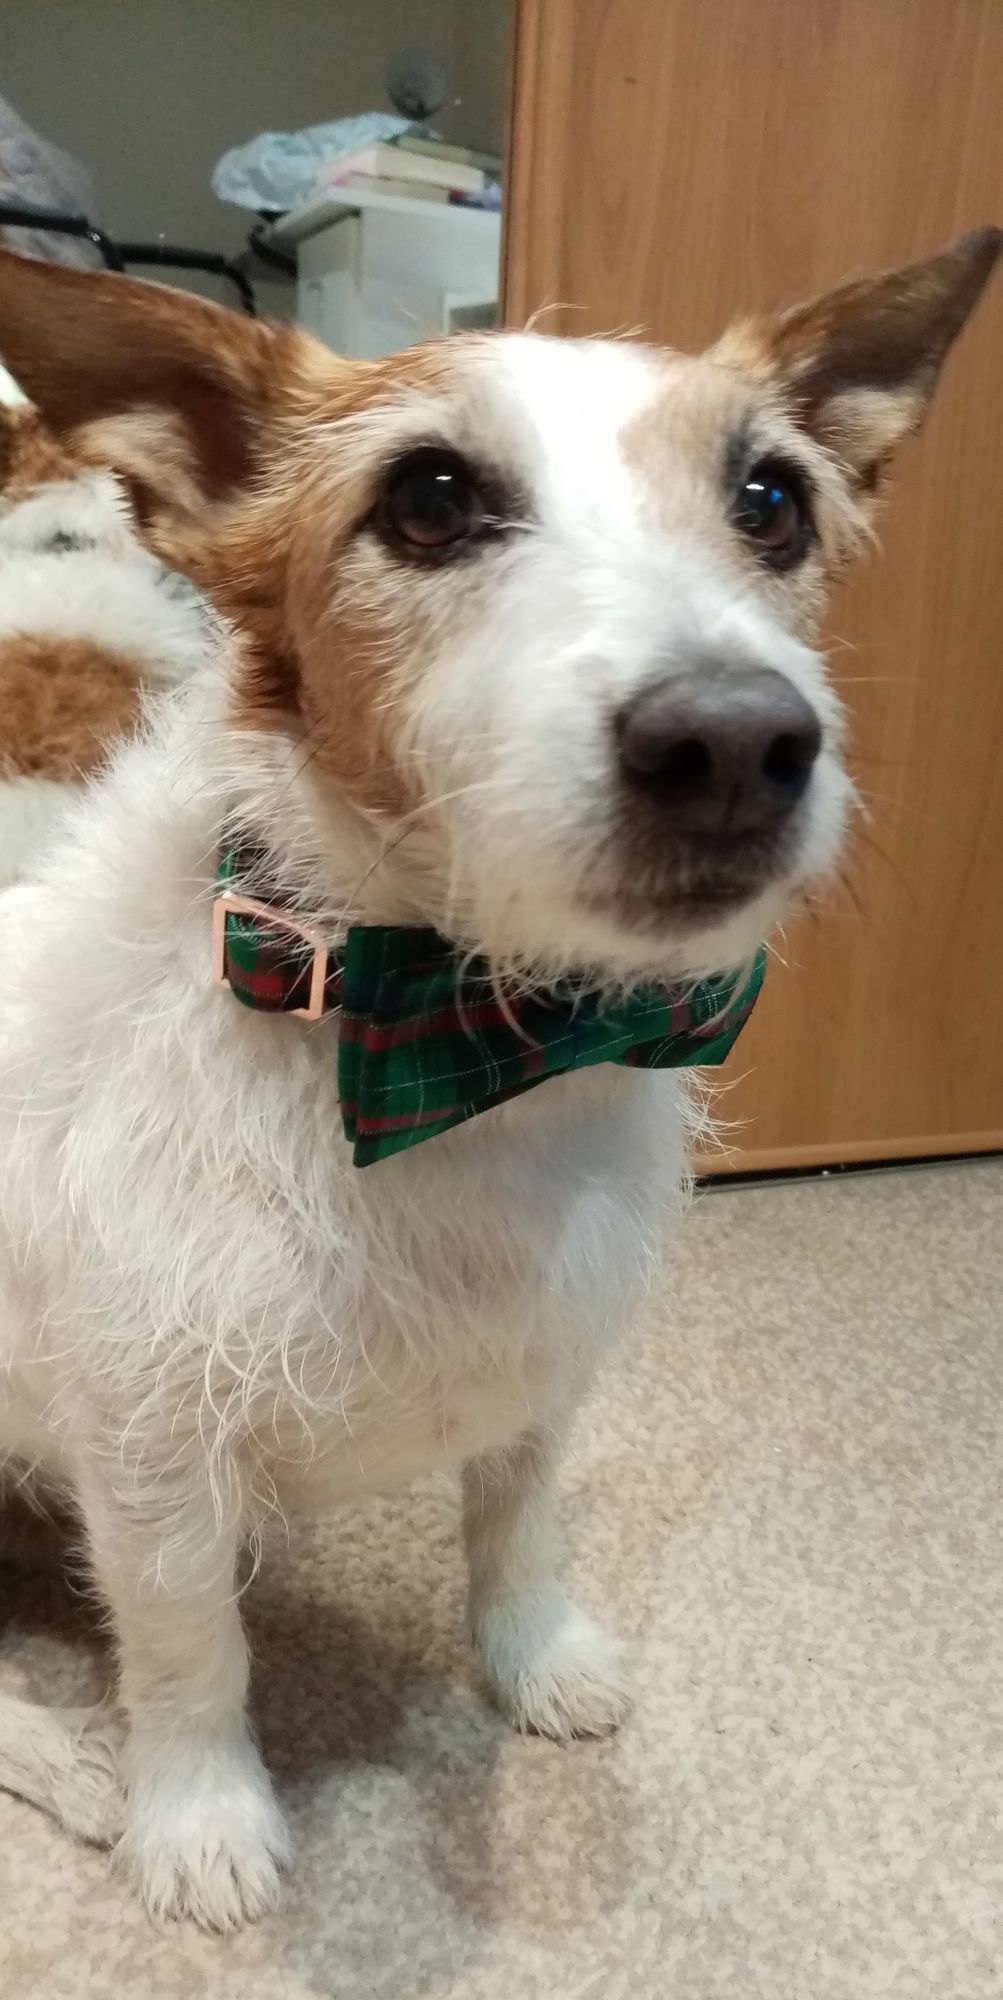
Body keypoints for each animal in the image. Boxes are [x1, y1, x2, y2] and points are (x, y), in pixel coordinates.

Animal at [0, 230, 995, 1920]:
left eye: (769, 499)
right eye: (428, 499)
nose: (734, 745)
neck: (452, 1036)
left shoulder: (544, 1370)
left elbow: (514, 1533)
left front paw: (534, 1666)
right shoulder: (148, 1446)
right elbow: (191, 1650)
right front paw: (199, 1820)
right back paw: (69, 1763)